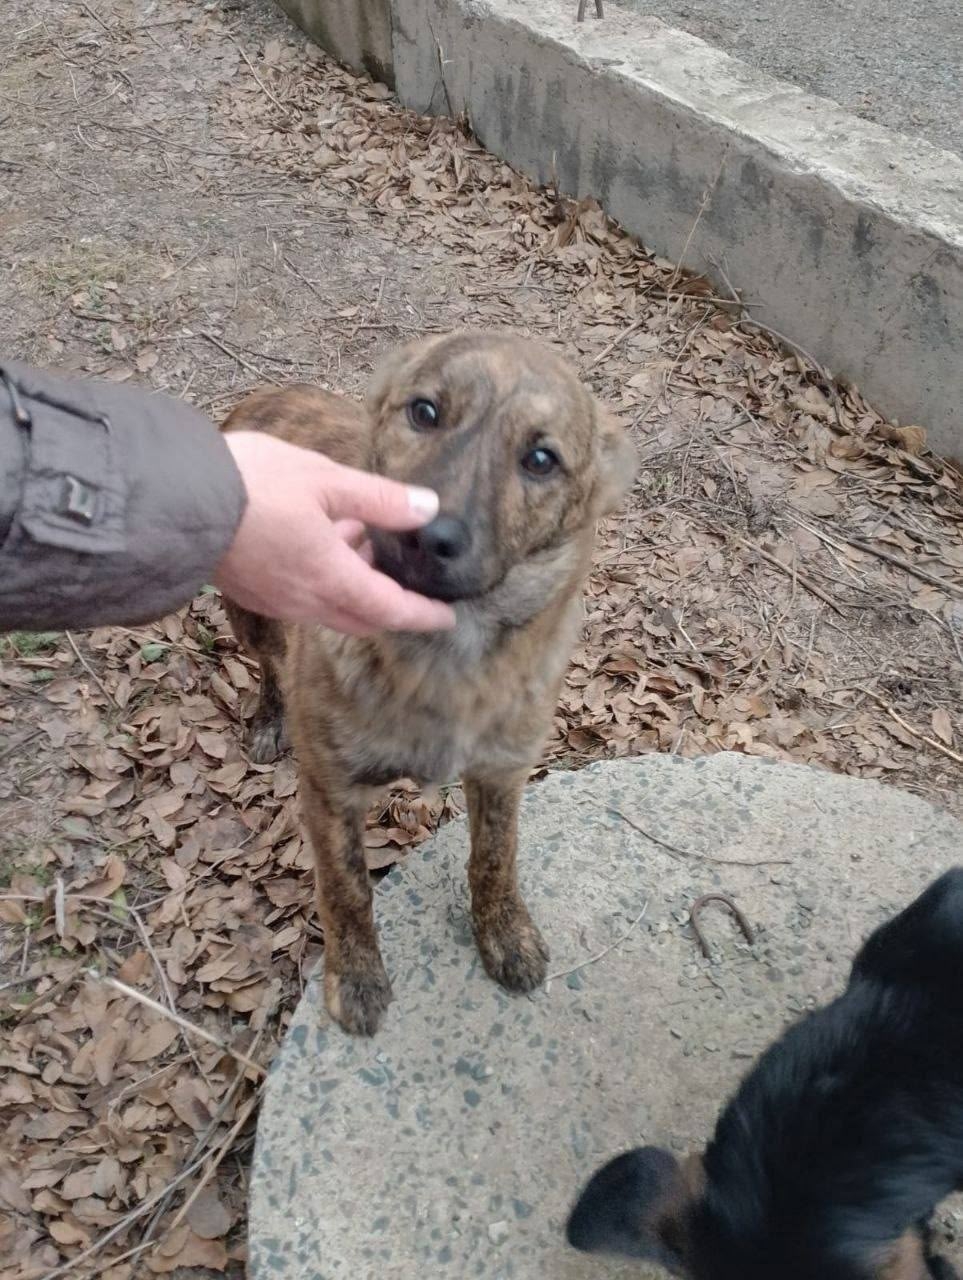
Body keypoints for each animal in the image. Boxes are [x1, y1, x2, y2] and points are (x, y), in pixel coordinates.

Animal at [222, 331, 637, 1035]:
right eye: (424, 411)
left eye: (542, 459)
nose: (426, 536)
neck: (448, 658)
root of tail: (263, 393)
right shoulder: (331, 789)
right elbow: (347, 888)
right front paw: (356, 978)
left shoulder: (501, 771)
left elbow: (495, 858)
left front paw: (504, 936)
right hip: (250, 607)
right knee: (269, 665)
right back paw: (271, 718)